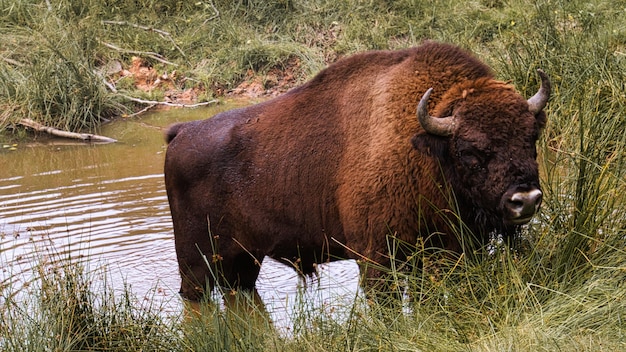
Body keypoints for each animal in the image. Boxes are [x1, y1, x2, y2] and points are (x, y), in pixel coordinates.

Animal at [163, 41, 548, 300]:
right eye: (469, 151)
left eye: (531, 136)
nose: (525, 199)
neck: (425, 149)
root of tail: (181, 132)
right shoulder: (376, 255)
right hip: (194, 262)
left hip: (244, 261)